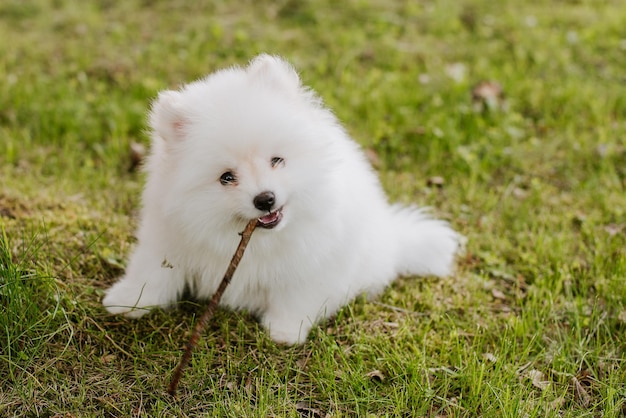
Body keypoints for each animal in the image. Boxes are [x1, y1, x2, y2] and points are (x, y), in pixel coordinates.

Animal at [102, 54, 458, 342]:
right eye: (227, 177)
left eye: (277, 160)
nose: (265, 199)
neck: (254, 240)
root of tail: (394, 239)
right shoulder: (169, 238)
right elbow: (152, 272)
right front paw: (127, 300)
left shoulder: (314, 260)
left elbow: (297, 296)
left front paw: (284, 331)